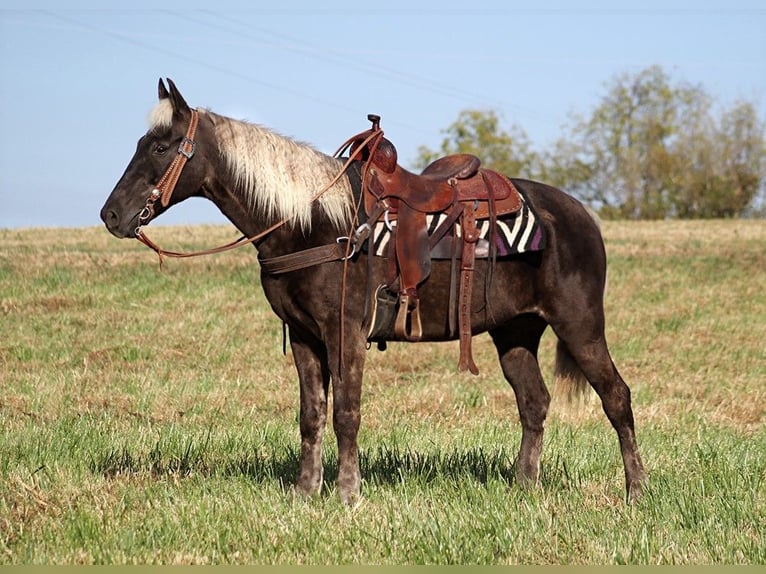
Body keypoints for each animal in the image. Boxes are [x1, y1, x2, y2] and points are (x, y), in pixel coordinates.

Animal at [100, 80, 648, 504]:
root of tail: (580, 215)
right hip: (515, 332)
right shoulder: (305, 337)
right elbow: (311, 416)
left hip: (579, 324)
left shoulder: (344, 332)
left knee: (616, 397)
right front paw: (305, 493)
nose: (111, 215)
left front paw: (348, 494)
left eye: (160, 147)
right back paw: (524, 488)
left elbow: (346, 413)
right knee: (534, 403)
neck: (313, 223)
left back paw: (635, 492)